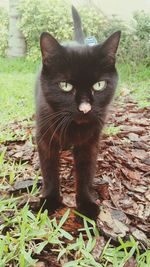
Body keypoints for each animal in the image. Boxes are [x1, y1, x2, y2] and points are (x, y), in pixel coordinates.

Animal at [35, 5, 120, 221]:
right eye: (65, 86)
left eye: (99, 85)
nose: (85, 108)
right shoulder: (45, 138)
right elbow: (49, 170)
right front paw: (50, 200)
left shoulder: (90, 142)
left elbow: (85, 172)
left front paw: (86, 204)